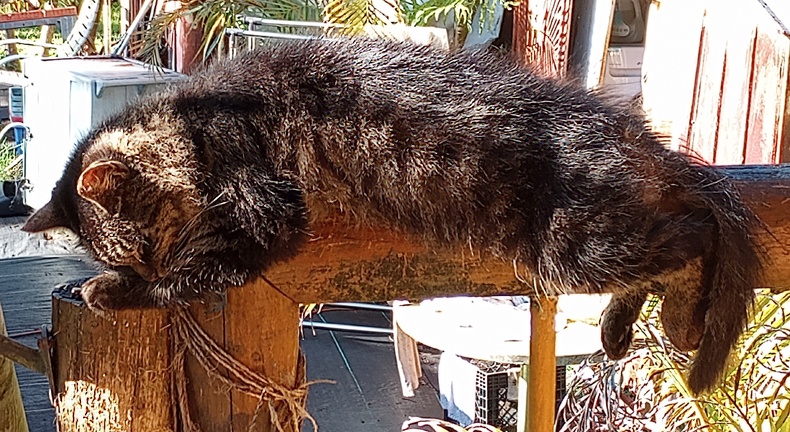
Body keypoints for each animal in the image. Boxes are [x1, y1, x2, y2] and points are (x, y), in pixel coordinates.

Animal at [21, 38, 768, 394]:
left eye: (138, 247)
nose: (142, 262)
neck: (194, 118)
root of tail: (637, 137)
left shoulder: (265, 213)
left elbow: (190, 276)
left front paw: (113, 289)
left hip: (575, 247)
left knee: (697, 231)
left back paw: (676, 311)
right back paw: (617, 330)